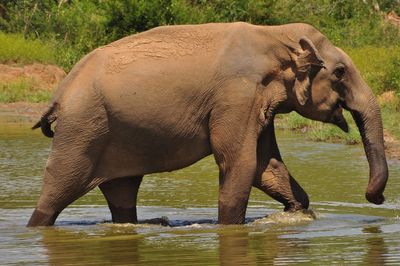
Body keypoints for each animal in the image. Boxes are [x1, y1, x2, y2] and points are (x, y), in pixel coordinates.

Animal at [28, 21, 388, 227]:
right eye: (339, 73)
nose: (378, 198)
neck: (273, 35)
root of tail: (59, 94)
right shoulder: (236, 97)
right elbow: (240, 163)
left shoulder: (256, 103)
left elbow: (266, 166)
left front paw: (296, 214)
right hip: (82, 129)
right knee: (57, 191)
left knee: (122, 190)